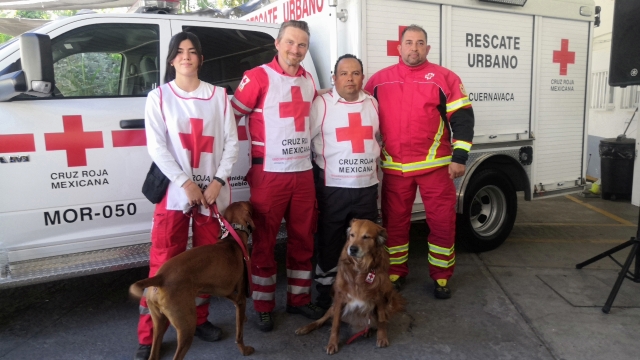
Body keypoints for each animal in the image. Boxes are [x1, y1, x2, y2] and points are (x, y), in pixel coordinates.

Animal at [129, 201, 255, 358]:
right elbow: (239, 333)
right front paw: (244, 349)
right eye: (248, 205)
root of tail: (160, 277)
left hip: (158, 322)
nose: (252, 202)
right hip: (186, 326)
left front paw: (243, 318)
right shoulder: (241, 297)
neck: (232, 238)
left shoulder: (226, 291)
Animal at [294, 219, 402, 354]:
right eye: (352, 235)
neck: (361, 267)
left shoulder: (380, 296)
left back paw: (368, 331)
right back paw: (306, 327)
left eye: (366, 237)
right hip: (333, 308)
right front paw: (332, 343)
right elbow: (335, 325)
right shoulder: (340, 298)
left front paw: (382, 337)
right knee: (322, 320)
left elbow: (381, 321)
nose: (353, 249)